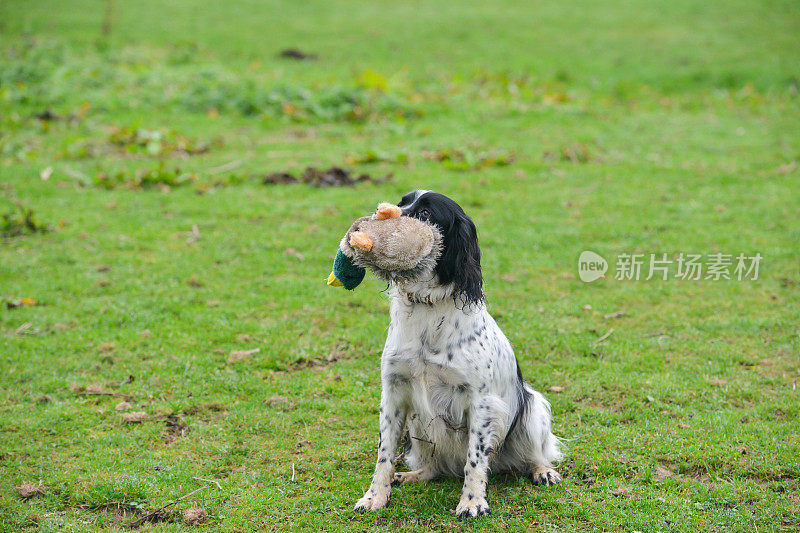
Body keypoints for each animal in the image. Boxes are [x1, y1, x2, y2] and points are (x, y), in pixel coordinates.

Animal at [356, 189, 564, 516]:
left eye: (426, 214)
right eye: (400, 203)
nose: (380, 217)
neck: (427, 307)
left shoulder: (480, 400)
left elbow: (475, 459)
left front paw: (473, 501)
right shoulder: (394, 391)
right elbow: (384, 454)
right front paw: (375, 497)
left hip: (533, 408)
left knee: (534, 454)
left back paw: (542, 471)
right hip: (417, 423)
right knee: (434, 468)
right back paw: (412, 475)